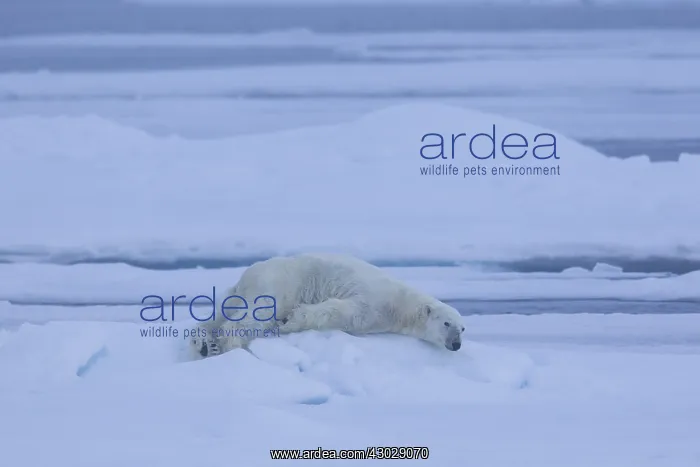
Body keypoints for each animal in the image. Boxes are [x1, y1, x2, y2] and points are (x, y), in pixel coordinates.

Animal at [188, 253, 465, 359]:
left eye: (463, 329)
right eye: (447, 323)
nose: (456, 344)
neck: (402, 304)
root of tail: (246, 275)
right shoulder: (374, 301)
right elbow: (342, 311)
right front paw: (289, 321)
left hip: (239, 293)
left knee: (218, 314)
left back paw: (204, 344)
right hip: (276, 284)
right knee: (256, 313)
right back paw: (230, 344)